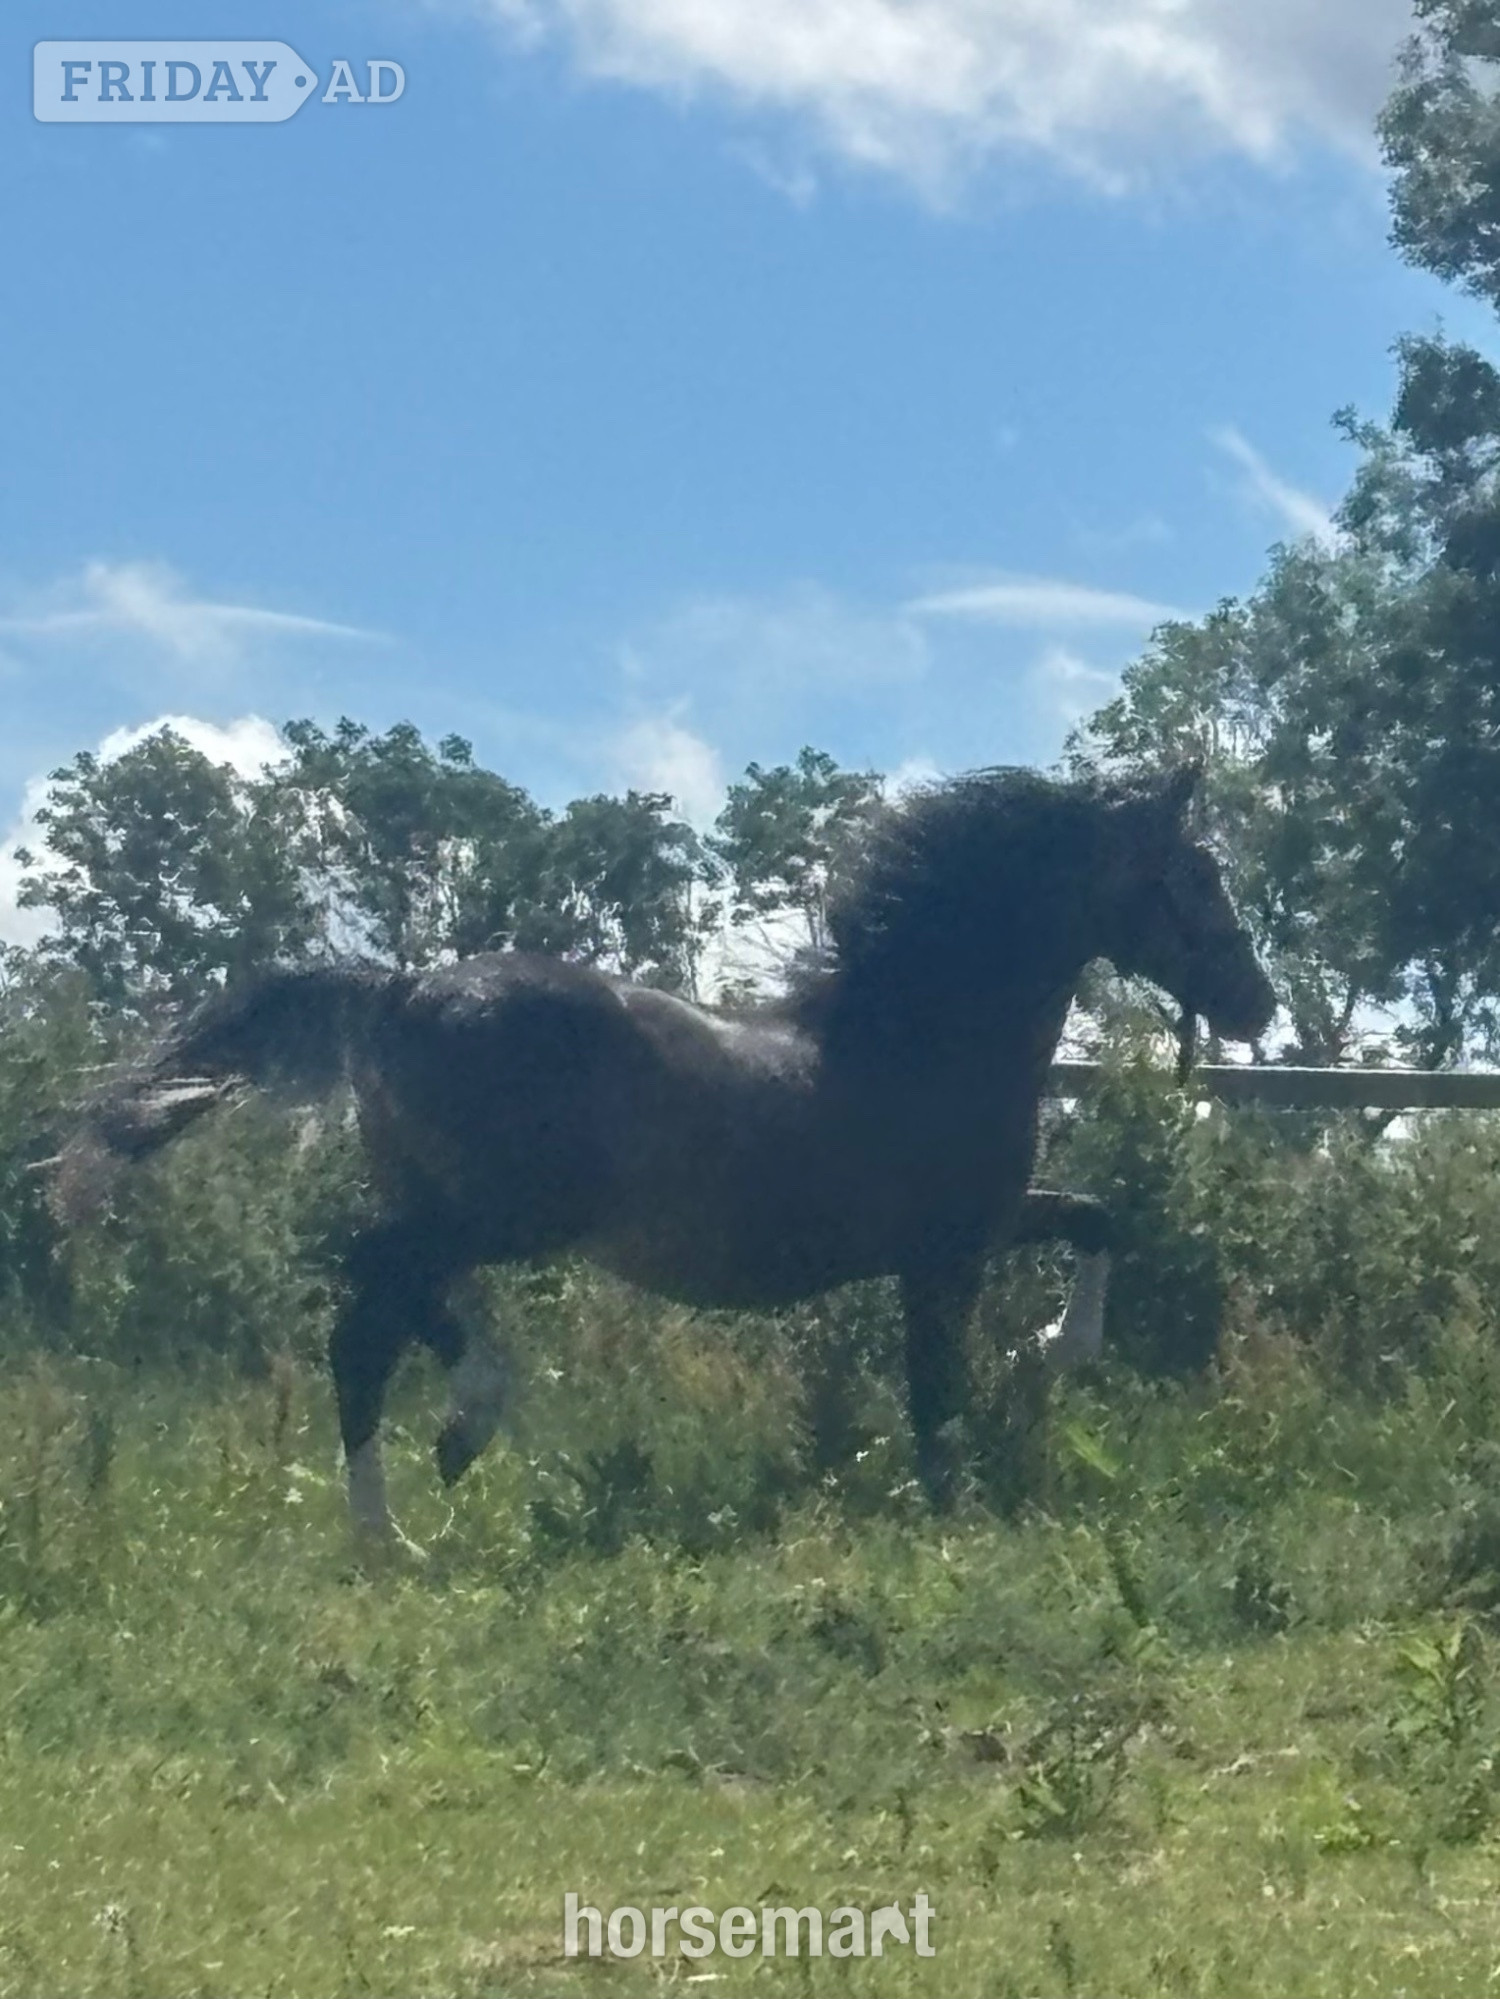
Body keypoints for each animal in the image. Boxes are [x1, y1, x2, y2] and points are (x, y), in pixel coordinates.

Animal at [52, 761, 1275, 1554]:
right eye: (1195, 877)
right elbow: (937, 1396)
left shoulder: (988, 1220)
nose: (1255, 1004)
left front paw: (1050, 1351)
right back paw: (392, 1530)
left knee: (406, 1306)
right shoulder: (944, 1255)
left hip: (462, 1209)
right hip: (506, 1213)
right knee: (368, 1311)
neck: (916, 1036)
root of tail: (397, 989)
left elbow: (1098, 1217)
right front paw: (967, 1493)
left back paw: (458, 1434)